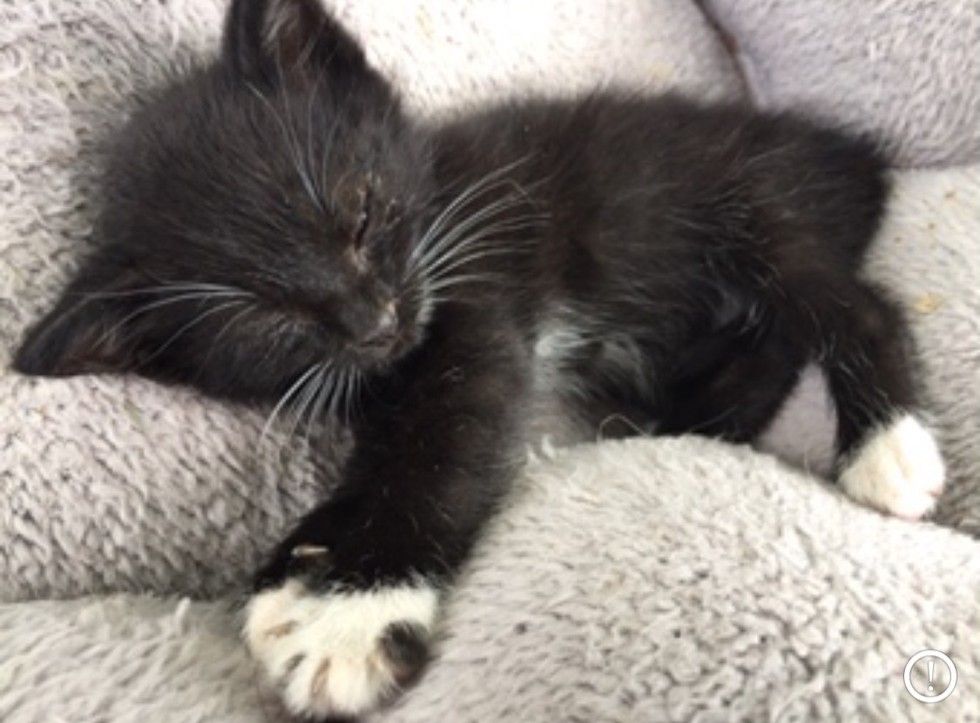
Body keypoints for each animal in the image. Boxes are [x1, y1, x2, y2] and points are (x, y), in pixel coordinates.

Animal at [14, 0, 945, 718]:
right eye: (272, 322)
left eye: (359, 213)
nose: (377, 319)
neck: (436, 203)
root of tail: (829, 150)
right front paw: (306, 565)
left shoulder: (473, 297)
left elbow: (442, 438)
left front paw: (353, 604)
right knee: (769, 343)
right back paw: (701, 419)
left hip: (745, 200)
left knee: (850, 304)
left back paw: (885, 442)